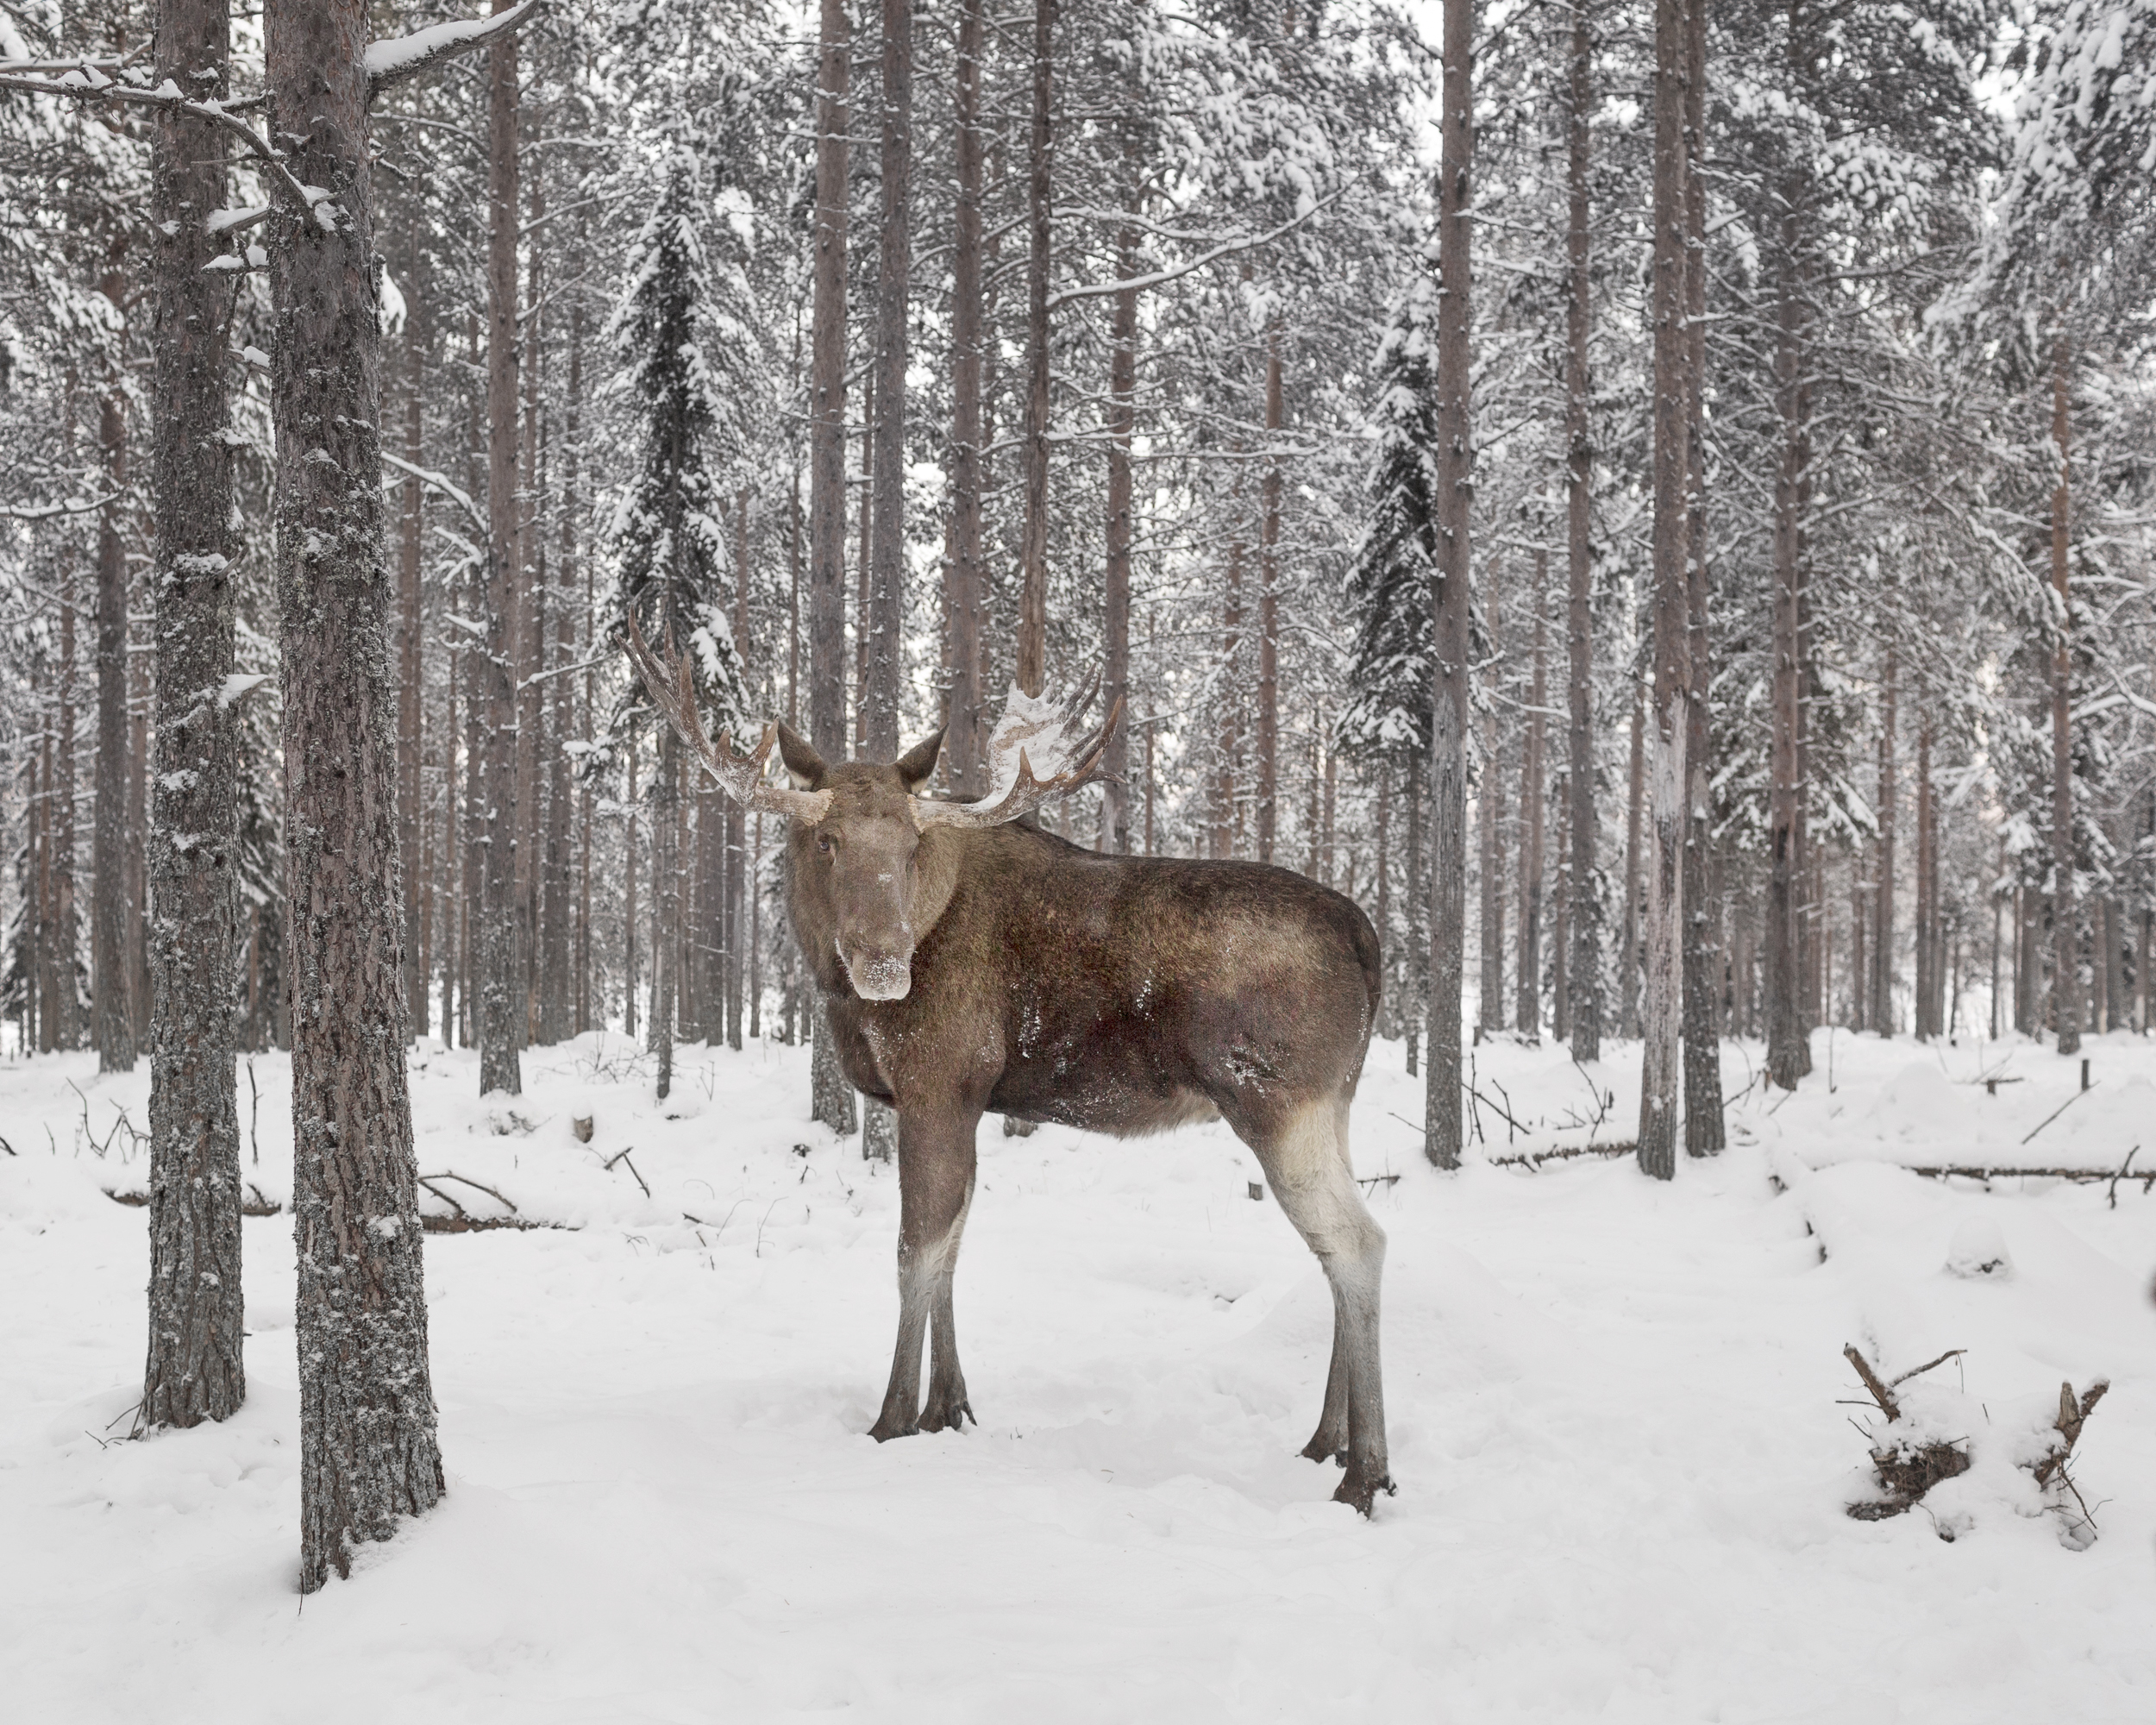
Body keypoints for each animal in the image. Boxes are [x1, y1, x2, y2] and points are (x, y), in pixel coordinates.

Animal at [625, 625, 1397, 1518]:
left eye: (910, 843)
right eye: (826, 839)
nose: (886, 963)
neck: (837, 988)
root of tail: (1367, 939)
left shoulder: (936, 1086)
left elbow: (914, 1253)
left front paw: (892, 1417)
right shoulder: (962, 1103)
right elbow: (953, 1248)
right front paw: (949, 1406)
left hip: (1279, 1102)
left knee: (1360, 1243)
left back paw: (1364, 1472)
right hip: (1331, 1105)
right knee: (1335, 1252)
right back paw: (1324, 1440)